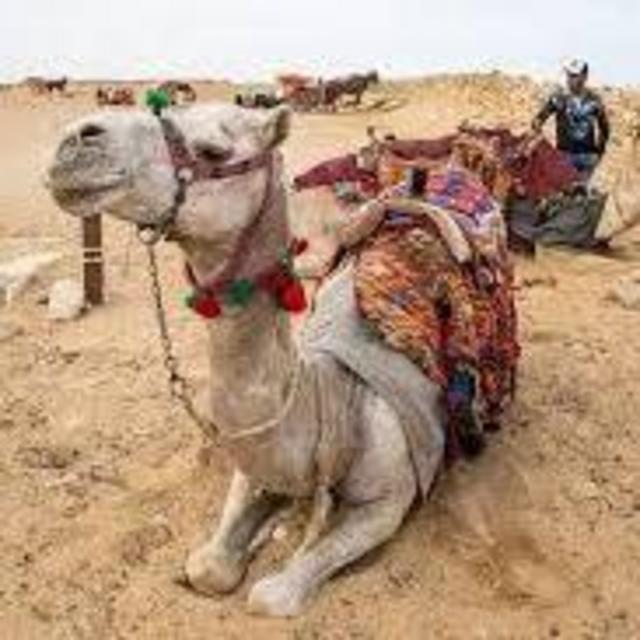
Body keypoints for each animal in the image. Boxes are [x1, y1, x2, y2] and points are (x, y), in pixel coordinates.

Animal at [46, 104, 446, 617]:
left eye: (214, 150)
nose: (75, 140)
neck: (330, 397)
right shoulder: (252, 461)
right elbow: (207, 568)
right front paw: (258, 530)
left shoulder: (390, 499)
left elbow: (270, 596)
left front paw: (274, 539)